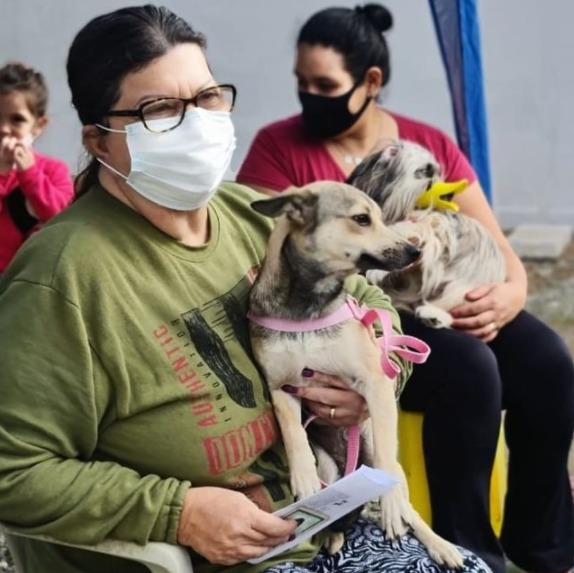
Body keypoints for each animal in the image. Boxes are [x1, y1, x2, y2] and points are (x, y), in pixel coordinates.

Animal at [250, 183, 466, 568]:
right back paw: (331, 534)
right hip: (330, 470)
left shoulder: (376, 383)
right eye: (362, 219)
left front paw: (394, 510)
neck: (308, 306)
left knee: (409, 507)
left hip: (383, 460)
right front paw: (303, 478)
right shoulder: (280, 387)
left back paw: (437, 543)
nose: (414, 251)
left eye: (379, 216)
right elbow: (293, 433)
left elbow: (385, 458)